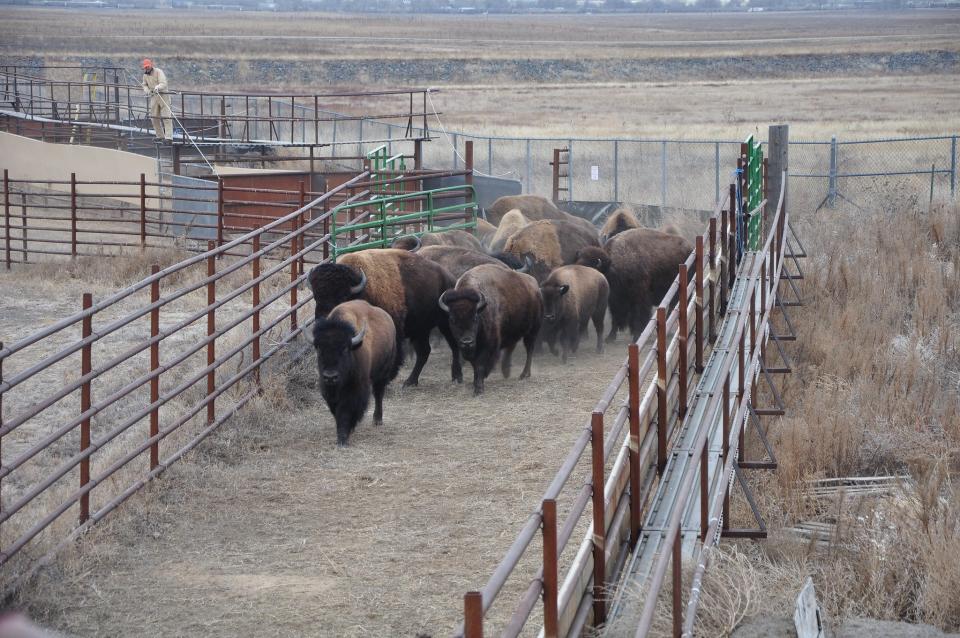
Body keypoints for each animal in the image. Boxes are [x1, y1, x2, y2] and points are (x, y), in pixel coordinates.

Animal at [306, 250, 460, 390]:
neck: (362, 292)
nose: (323, 322)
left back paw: (457, 377)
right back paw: (410, 382)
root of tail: (451, 280)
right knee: (424, 352)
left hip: (445, 323)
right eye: (316, 297)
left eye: (343, 296)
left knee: (454, 345)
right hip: (420, 330)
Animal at [314, 302, 400, 448]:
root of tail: (387, 317)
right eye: (319, 349)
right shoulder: (327, 390)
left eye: (344, 349)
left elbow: (346, 410)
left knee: (378, 394)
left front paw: (343, 438)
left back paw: (377, 420)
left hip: (382, 374)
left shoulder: (355, 389)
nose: (330, 376)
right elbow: (336, 410)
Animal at [438, 264, 544, 396]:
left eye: (475, 318)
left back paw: (524, 374)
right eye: (452, 319)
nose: (467, 342)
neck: (482, 309)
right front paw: (476, 383)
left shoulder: (488, 345)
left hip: (532, 331)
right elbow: (474, 365)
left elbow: (480, 365)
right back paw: (507, 371)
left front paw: (479, 388)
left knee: (529, 350)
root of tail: (535, 286)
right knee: (512, 347)